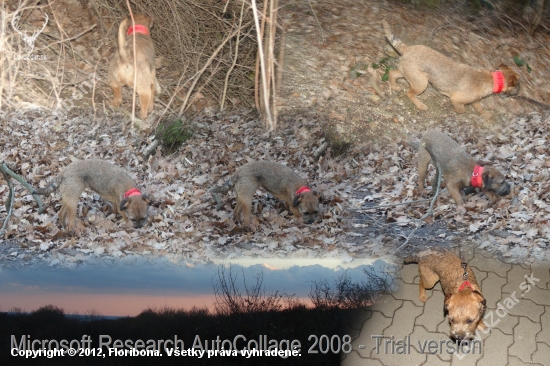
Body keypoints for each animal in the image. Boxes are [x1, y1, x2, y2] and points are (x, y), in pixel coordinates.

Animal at [384, 19, 520, 120]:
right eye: (518, 84)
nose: (519, 92)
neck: (492, 79)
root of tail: (407, 48)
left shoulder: (476, 101)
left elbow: (480, 108)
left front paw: (486, 114)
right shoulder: (457, 100)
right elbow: (462, 109)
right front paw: (453, 110)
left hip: (409, 74)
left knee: (392, 73)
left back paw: (394, 86)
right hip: (421, 83)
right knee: (410, 94)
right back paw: (421, 105)